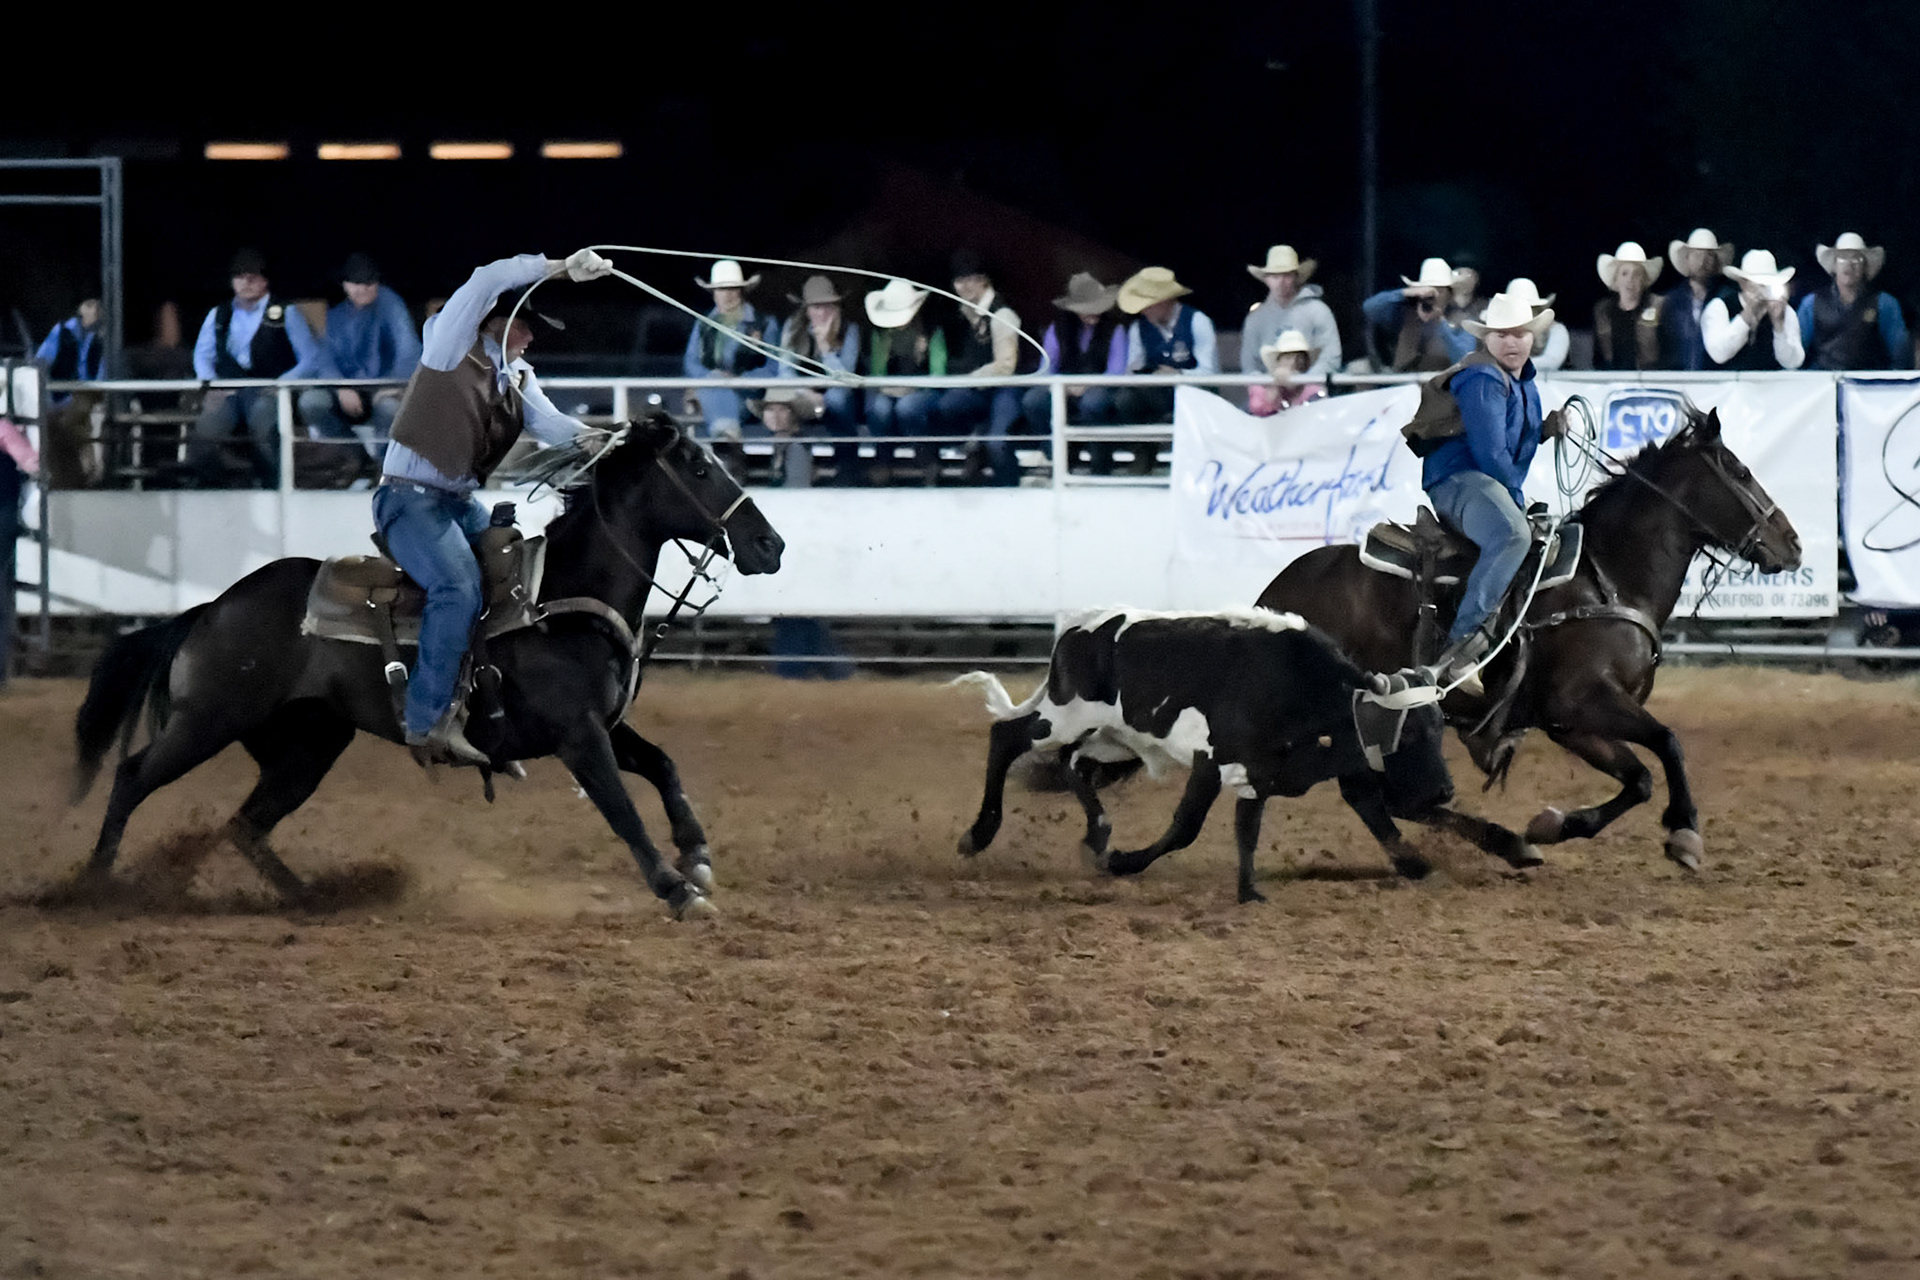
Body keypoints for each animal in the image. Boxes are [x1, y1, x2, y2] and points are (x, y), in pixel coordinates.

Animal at [68, 413, 784, 919]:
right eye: (698, 468)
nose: (769, 543)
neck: (558, 600)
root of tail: (211, 608)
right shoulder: (579, 737)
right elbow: (620, 808)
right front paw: (675, 887)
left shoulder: (603, 725)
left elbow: (663, 766)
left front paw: (697, 855)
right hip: (209, 721)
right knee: (132, 779)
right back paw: (92, 886)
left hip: (308, 746)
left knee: (246, 826)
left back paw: (315, 898)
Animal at [952, 607, 1454, 902]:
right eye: (1410, 734)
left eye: (1440, 725)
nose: (1445, 791)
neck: (1297, 684)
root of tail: (1077, 631)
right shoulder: (1213, 761)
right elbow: (1186, 827)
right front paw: (1124, 862)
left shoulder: (1262, 773)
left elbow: (1249, 830)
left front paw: (1249, 892)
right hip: (1062, 717)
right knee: (1005, 737)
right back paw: (979, 834)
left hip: (1110, 739)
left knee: (1072, 765)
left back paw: (1097, 835)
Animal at [1255, 404, 1801, 871]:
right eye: (1740, 471)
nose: (1792, 544)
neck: (1608, 577)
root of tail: (1273, 593)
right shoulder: (1582, 700)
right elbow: (1668, 743)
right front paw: (1685, 833)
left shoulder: (1570, 723)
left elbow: (1640, 779)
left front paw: (1553, 825)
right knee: (1370, 793)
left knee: (1376, 795)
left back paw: (1479, 850)